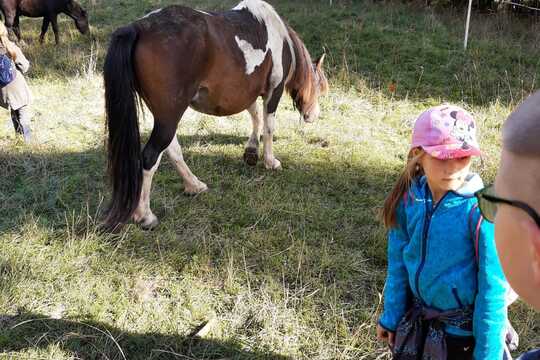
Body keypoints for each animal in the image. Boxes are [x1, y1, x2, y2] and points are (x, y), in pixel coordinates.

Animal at [103, 0, 326, 231]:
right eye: (321, 87)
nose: (313, 115)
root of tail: (139, 27)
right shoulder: (274, 91)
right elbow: (268, 126)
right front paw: (270, 161)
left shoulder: (247, 93)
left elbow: (255, 115)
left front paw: (251, 150)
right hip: (169, 117)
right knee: (150, 157)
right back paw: (145, 216)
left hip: (165, 117)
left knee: (172, 150)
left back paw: (194, 185)